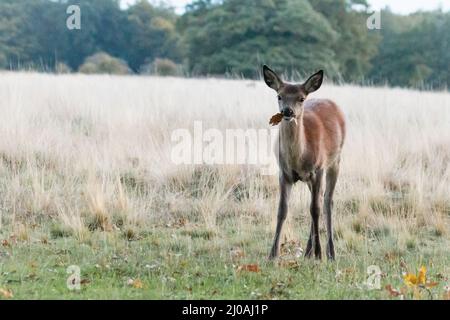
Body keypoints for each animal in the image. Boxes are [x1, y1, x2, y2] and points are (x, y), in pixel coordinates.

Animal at [262, 64, 346, 260]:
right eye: (279, 96)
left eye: (301, 98)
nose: (287, 111)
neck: (298, 159)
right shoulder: (284, 173)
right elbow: (282, 210)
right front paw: (272, 254)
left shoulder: (318, 169)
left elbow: (314, 209)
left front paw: (319, 253)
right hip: (311, 178)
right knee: (319, 199)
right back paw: (308, 251)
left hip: (335, 160)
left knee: (327, 201)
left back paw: (330, 252)